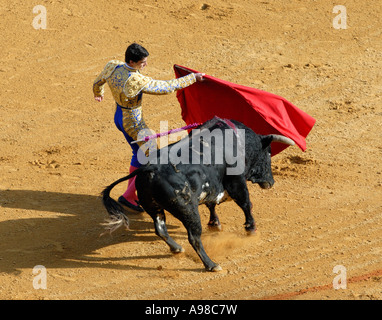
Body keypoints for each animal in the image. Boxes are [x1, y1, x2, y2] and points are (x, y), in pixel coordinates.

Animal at [100, 116, 292, 272]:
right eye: (268, 153)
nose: (271, 182)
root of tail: (149, 169)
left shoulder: (212, 186)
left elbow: (212, 204)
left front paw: (215, 224)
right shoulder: (236, 182)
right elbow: (246, 203)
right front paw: (251, 229)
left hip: (153, 206)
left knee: (160, 228)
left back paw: (177, 248)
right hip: (188, 209)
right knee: (194, 237)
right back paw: (211, 265)